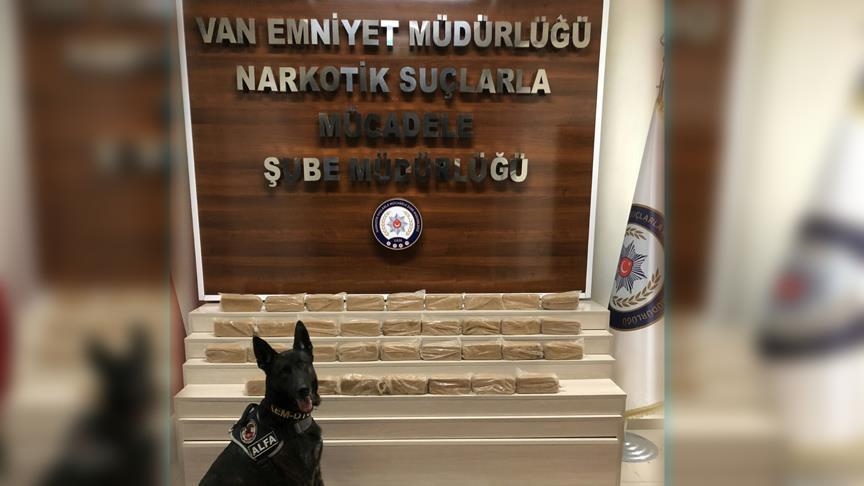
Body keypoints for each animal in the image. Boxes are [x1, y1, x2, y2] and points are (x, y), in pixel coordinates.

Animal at [200, 322, 324, 486]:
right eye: (283, 372)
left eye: (303, 364)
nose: (303, 390)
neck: (289, 416)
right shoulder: (305, 477)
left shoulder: (317, 472)